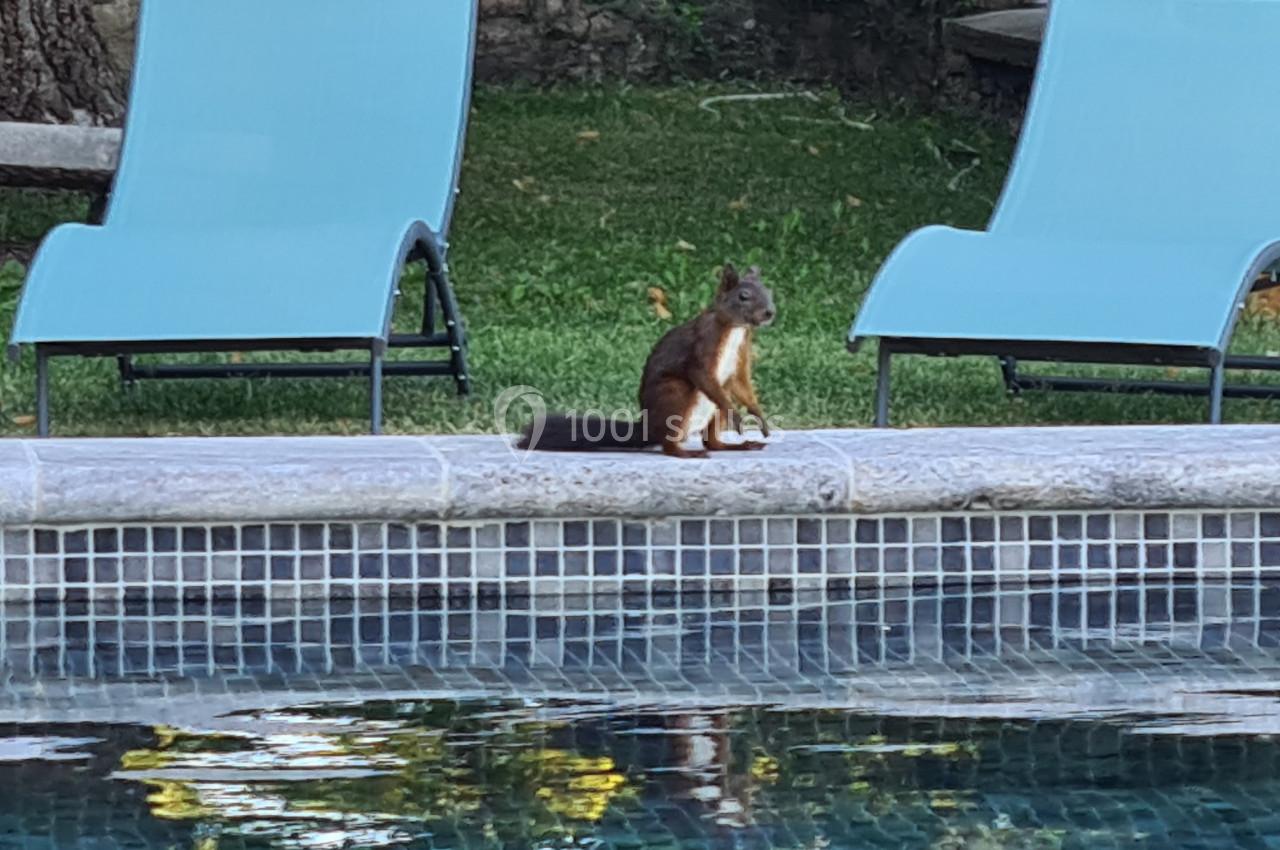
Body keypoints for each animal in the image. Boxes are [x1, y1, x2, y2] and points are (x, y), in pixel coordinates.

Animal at [518, 264, 775, 459]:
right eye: (743, 296)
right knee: (670, 444)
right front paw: (736, 415)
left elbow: (742, 384)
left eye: (769, 292)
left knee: (711, 441)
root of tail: (647, 428)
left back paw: (739, 445)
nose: (770, 312)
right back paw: (686, 452)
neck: (735, 328)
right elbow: (701, 373)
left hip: (712, 410)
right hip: (675, 396)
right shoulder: (703, 344)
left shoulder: (740, 359)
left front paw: (759, 417)